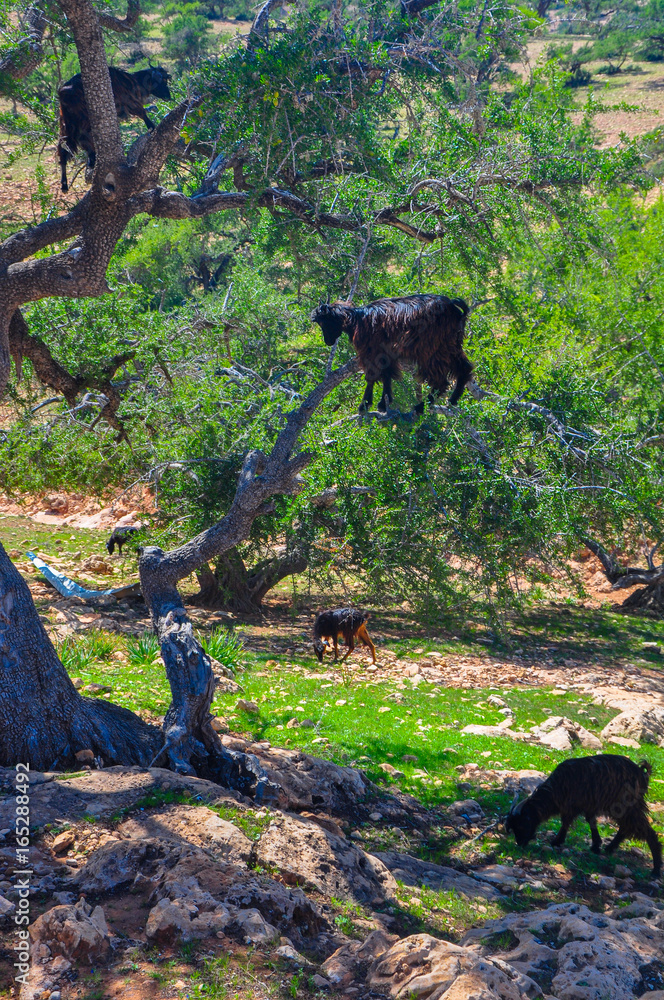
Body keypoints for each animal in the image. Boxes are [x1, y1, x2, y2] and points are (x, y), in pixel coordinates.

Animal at [310, 294, 473, 414]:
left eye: (323, 322)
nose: (328, 341)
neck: (357, 320)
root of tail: (453, 307)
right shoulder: (385, 353)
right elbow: (387, 375)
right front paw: (383, 403)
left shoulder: (372, 351)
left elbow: (372, 376)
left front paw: (365, 405)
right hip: (450, 344)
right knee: (464, 368)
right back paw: (452, 400)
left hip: (431, 349)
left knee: (441, 380)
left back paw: (421, 407)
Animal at [505, 754, 662, 877]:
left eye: (521, 824)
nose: (520, 843)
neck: (556, 789)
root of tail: (642, 773)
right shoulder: (588, 806)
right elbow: (590, 822)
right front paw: (596, 845)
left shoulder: (572, 805)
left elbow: (566, 822)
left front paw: (556, 841)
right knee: (625, 828)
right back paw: (610, 848)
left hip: (628, 804)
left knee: (645, 830)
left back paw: (656, 869)